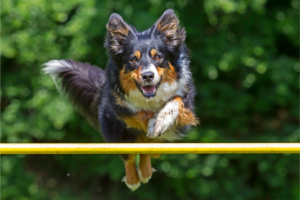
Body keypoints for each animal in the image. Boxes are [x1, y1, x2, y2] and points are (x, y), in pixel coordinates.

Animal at [43, 9, 198, 191]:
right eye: (133, 59)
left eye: (158, 57)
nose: (147, 76)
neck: (150, 98)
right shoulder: (117, 105)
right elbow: (136, 114)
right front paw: (150, 119)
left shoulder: (186, 98)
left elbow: (176, 101)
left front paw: (160, 121)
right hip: (118, 136)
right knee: (129, 157)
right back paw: (134, 180)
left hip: (160, 144)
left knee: (149, 150)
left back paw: (145, 172)